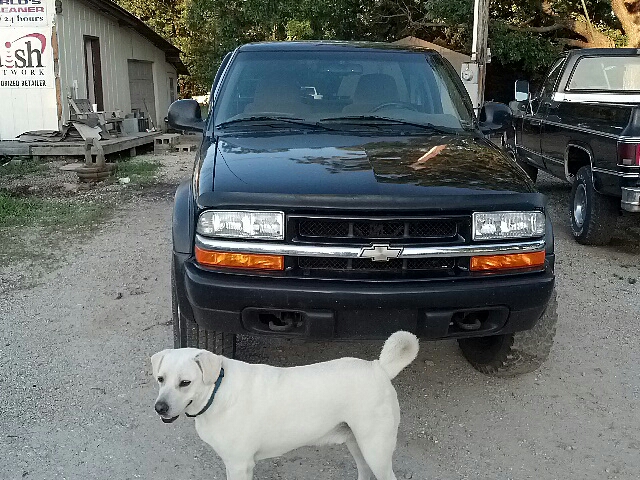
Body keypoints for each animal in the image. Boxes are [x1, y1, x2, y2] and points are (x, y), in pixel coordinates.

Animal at [151, 332, 420, 478]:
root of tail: (379, 367)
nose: (159, 408)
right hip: (358, 444)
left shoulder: (239, 465)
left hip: (375, 449)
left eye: (185, 382)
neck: (217, 391)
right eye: (161, 379)